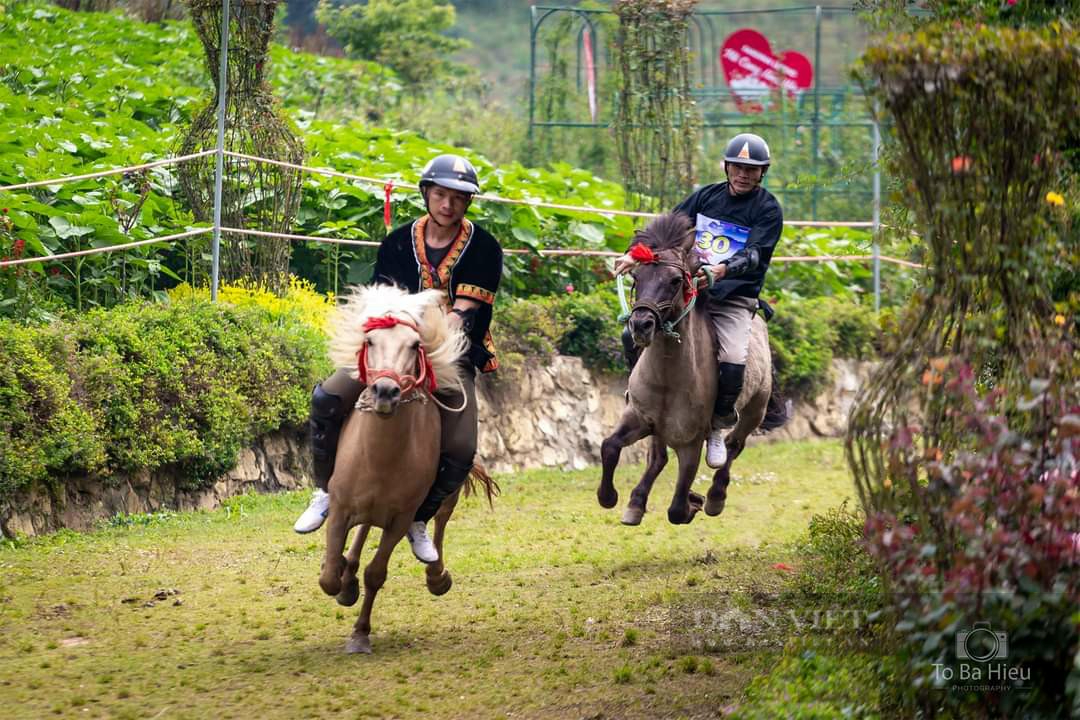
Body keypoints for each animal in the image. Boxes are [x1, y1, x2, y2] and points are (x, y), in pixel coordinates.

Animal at [313, 284, 481, 656]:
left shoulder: (400, 519)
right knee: (361, 531)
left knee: (440, 516)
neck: (381, 459)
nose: (385, 391)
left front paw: (360, 634)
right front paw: (343, 579)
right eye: (370, 340)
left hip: (451, 475)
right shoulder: (341, 508)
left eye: (416, 345)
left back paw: (436, 573)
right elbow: (329, 577)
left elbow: (376, 573)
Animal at [596, 212, 773, 524]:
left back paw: (714, 497)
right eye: (636, 277)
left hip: (754, 410)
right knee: (658, 458)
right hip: (658, 429)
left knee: (733, 445)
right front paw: (609, 497)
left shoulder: (690, 442)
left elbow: (677, 508)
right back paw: (636, 503)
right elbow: (610, 447)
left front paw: (694, 500)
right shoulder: (639, 417)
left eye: (676, 280)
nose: (641, 325)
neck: (668, 380)